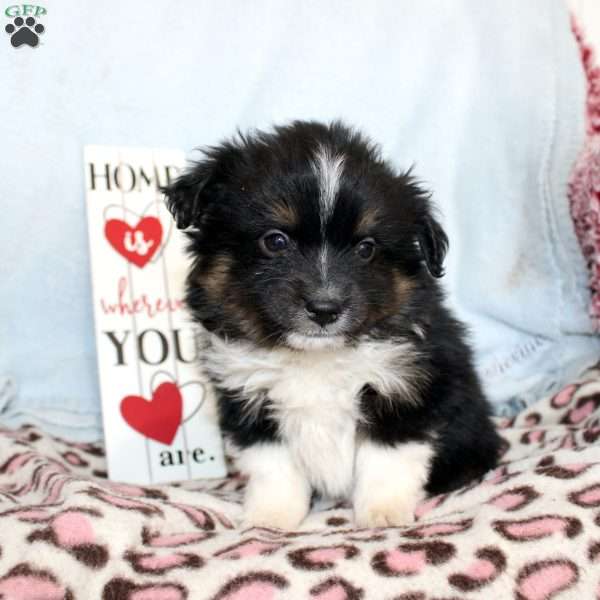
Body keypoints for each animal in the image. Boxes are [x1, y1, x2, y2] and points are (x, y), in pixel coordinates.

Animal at [164, 120, 502, 528]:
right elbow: (274, 466)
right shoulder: (248, 398)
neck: (315, 358)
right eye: (275, 241)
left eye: (366, 248)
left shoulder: (407, 388)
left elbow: (387, 459)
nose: (325, 309)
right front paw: (270, 517)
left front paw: (384, 513)